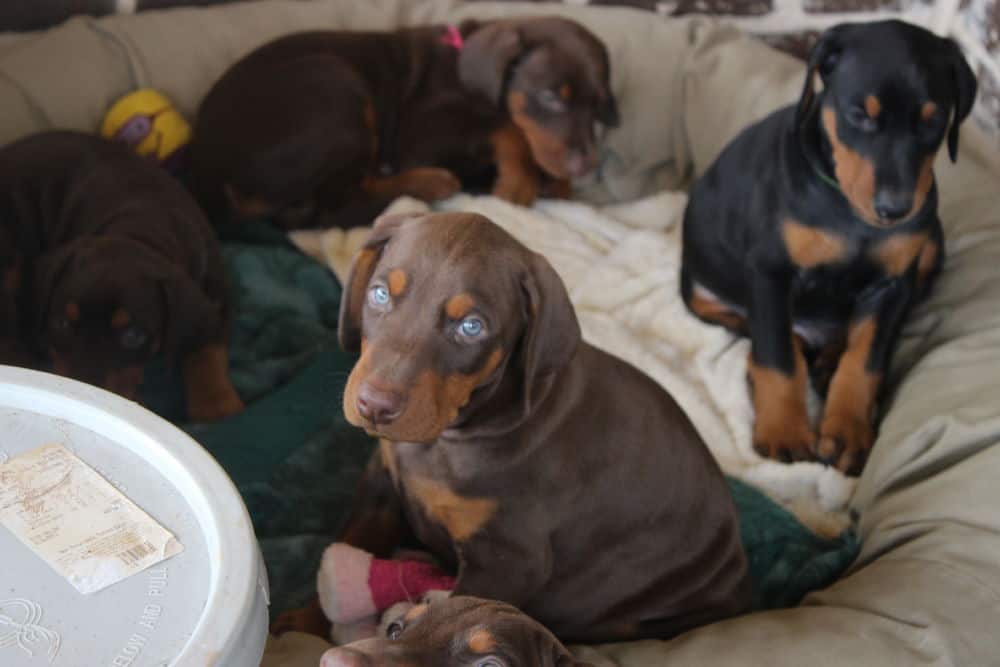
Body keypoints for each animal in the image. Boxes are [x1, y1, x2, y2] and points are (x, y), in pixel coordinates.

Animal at [0, 131, 244, 422]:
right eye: (61, 324)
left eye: (134, 336)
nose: (87, 401)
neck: (143, 224)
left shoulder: (217, 297)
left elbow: (208, 348)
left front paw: (216, 404)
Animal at [189, 16, 616, 230]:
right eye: (550, 97)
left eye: (598, 105)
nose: (587, 166)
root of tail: (205, 165)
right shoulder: (421, 136)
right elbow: (505, 125)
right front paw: (520, 180)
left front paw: (554, 181)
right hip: (334, 86)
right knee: (335, 208)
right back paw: (429, 183)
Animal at [680, 19, 976, 474]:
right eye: (860, 115)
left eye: (935, 119)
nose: (895, 209)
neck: (851, 217)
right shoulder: (770, 271)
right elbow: (777, 356)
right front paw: (784, 431)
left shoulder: (893, 285)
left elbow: (866, 358)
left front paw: (849, 430)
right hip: (698, 288)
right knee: (759, 332)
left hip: (932, 248)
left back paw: (827, 361)